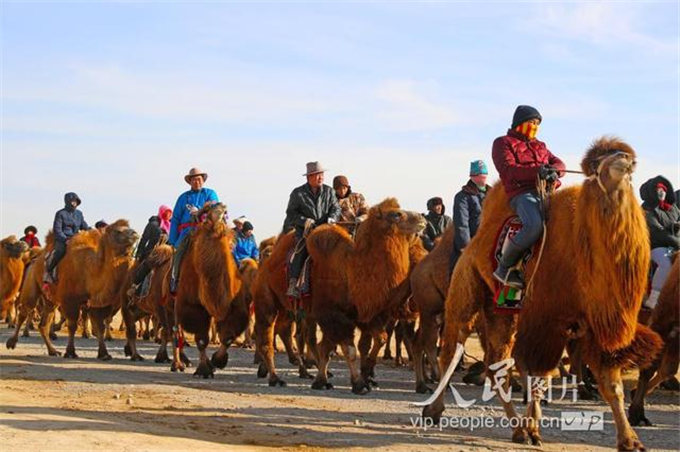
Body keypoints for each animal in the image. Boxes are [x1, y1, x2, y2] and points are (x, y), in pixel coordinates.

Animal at [169, 203, 256, 376]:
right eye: (207, 211)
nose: (220, 206)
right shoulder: (193, 306)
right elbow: (202, 340)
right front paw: (204, 369)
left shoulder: (236, 306)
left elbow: (228, 336)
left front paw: (217, 360)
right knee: (176, 331)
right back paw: (178, 363)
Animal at [304, 198, 424, 392]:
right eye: (396, 214)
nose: (422, 218)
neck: (352, 272)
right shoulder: (334, 315)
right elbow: (349, 350)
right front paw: (359, 383)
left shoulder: (368, 315)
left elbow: (377, 340)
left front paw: (366, 374)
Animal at [422, 138, 660, 452]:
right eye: (597, 162)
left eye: (627, 152)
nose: (624, 159)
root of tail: (473, 242)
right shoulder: (545, 319)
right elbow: (538, 375)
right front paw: (534, 428)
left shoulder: (597, 326)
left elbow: (612, 385)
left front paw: (630, 439)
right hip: (466, 290)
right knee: (451, 350)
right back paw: (433, 410)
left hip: (502, 312)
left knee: (496, 366)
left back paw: (516, 428)